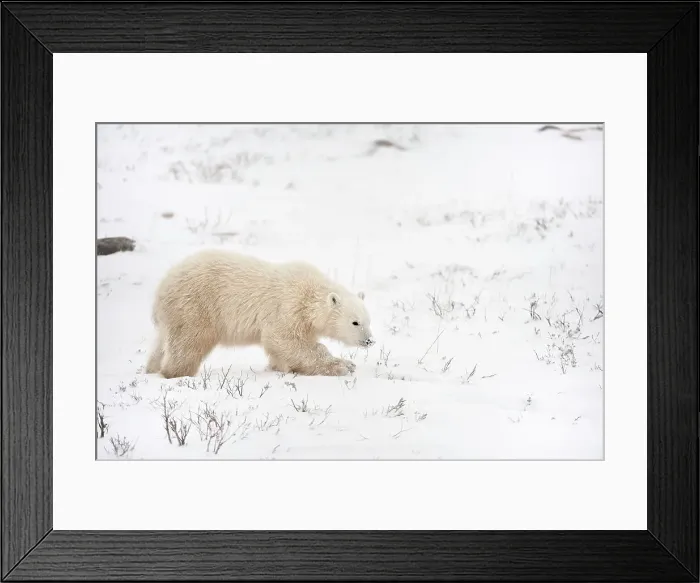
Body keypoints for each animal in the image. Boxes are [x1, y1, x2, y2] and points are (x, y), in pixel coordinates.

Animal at [145, 249, 375, 379]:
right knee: (189, 343)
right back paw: (177, 373)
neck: (310, 293)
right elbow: (284, 339)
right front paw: (344, 365)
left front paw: (280, 367)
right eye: (355, 322)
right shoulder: (288, 307)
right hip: (195, 305)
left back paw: (151, 368)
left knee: (161, 344)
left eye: (368, 321)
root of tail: (162, 287)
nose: (369, 341)